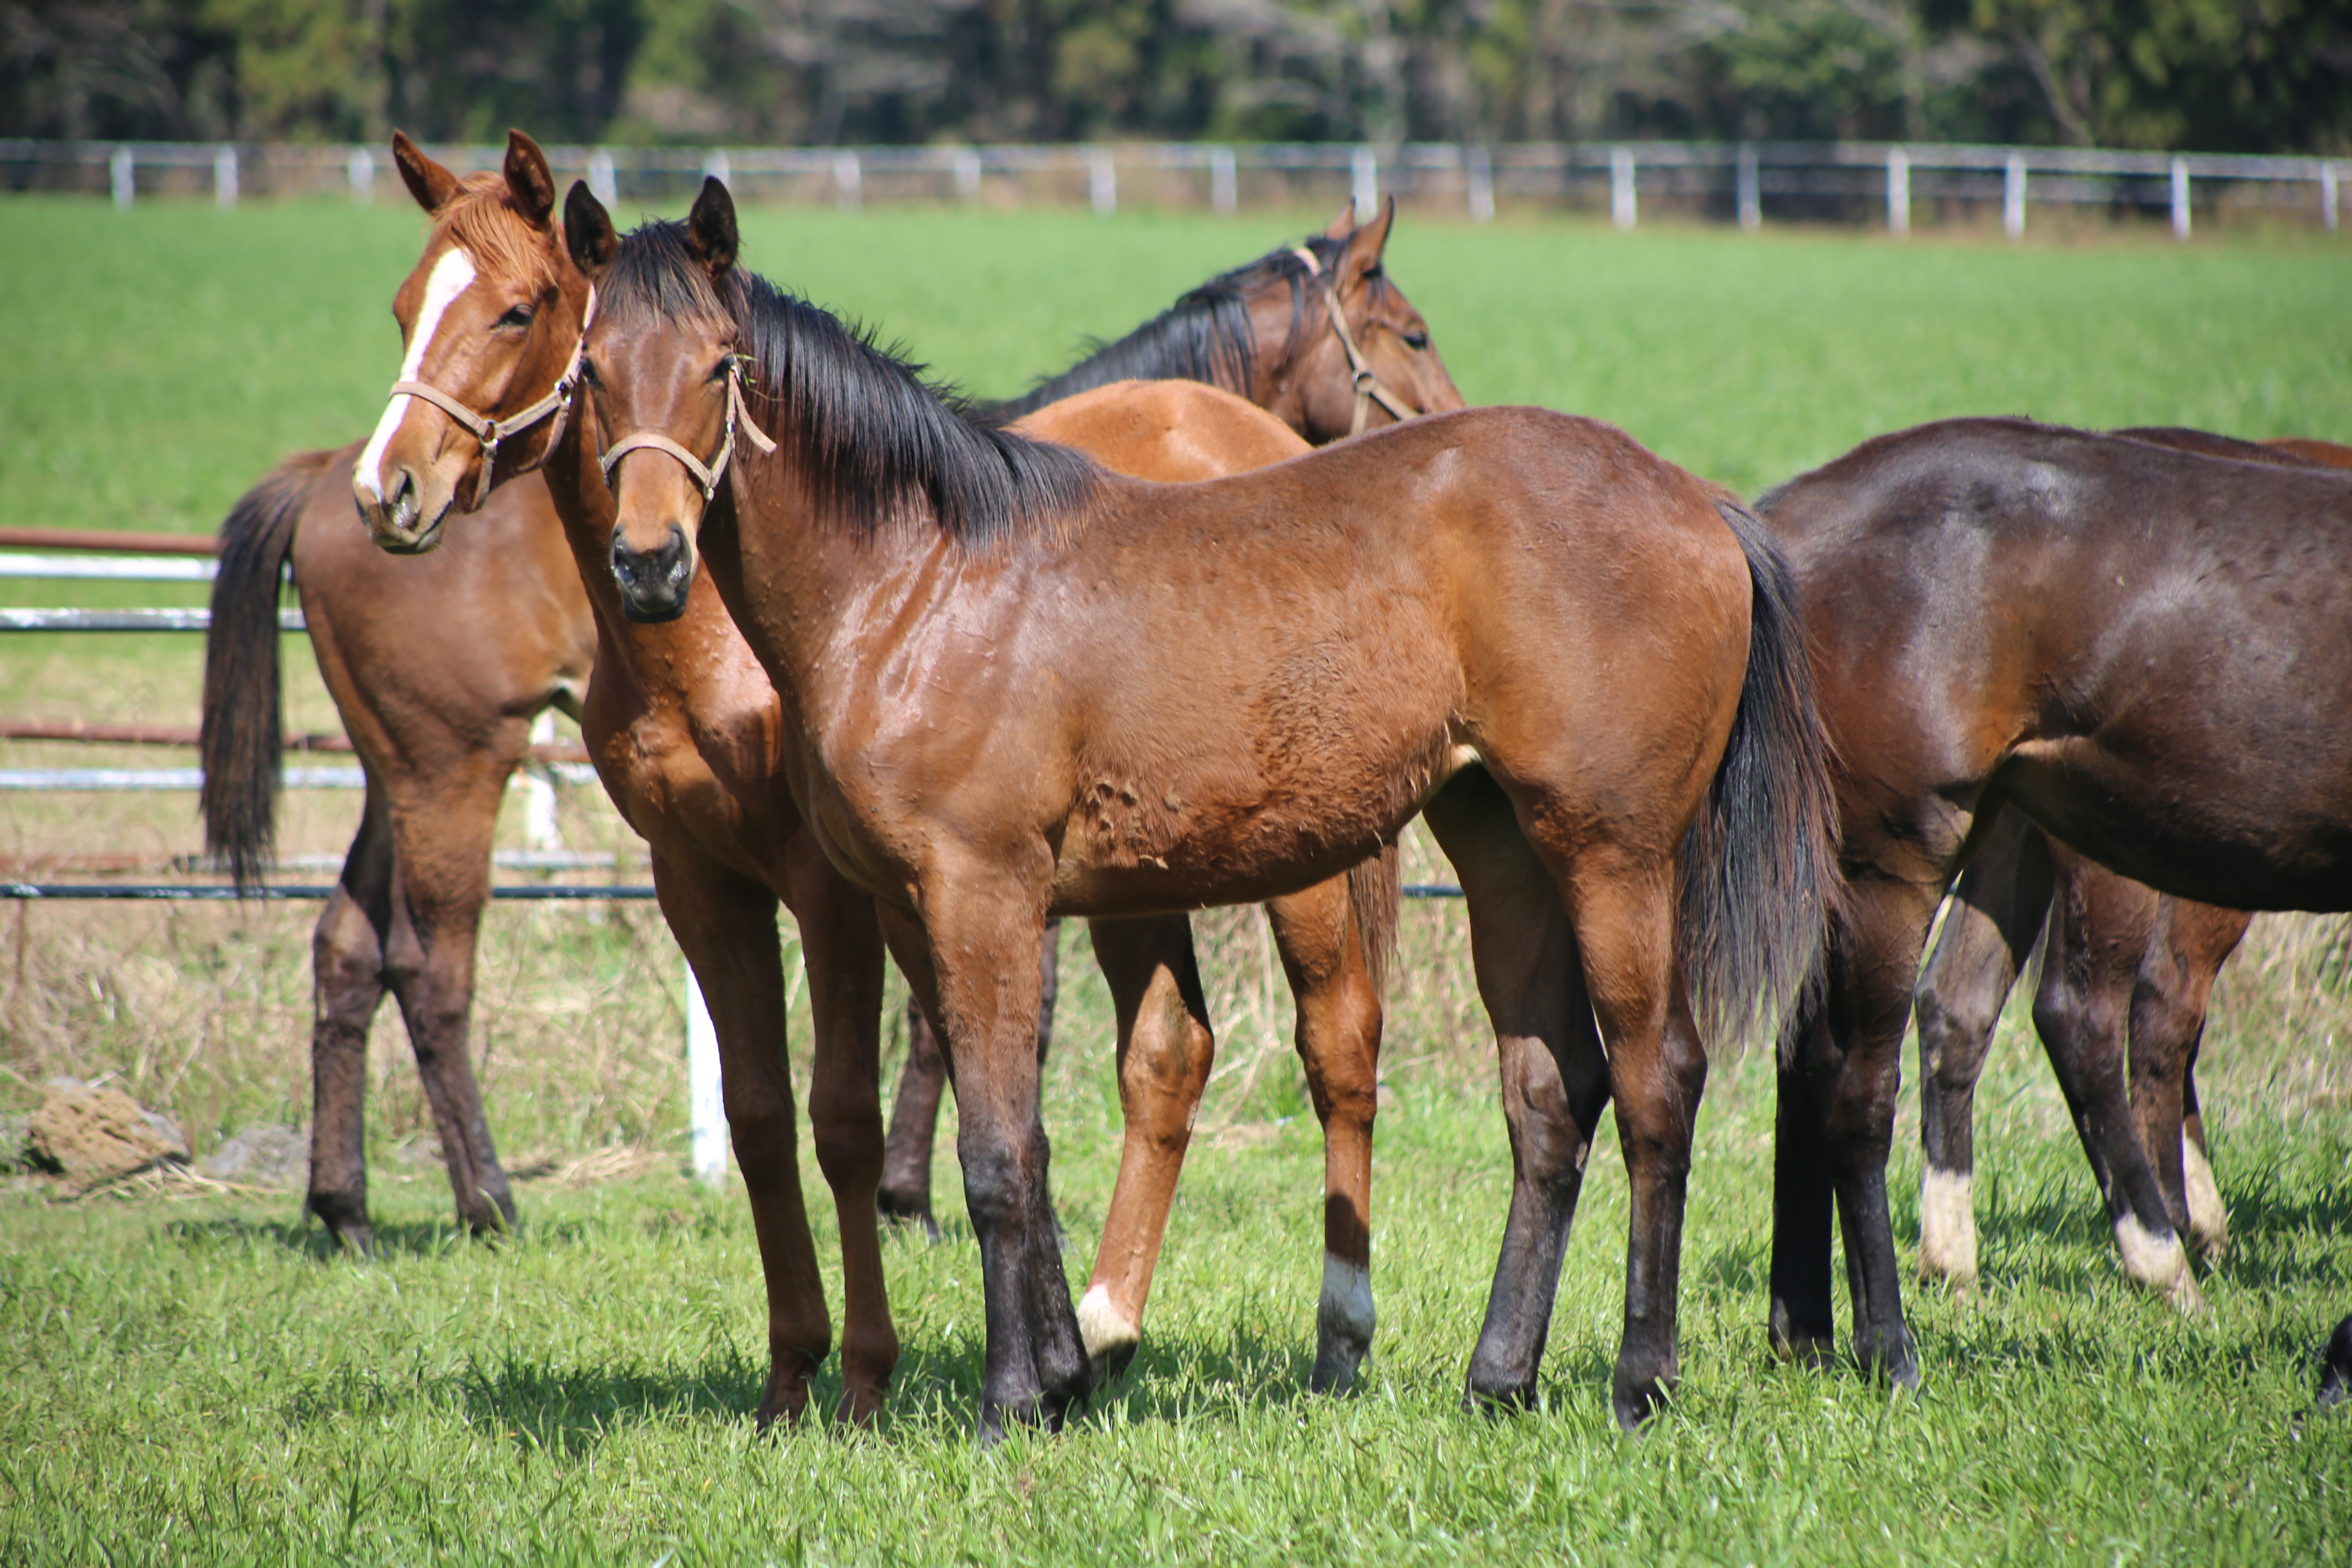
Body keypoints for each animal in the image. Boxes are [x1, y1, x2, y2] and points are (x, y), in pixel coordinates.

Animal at [564, 177, 1834, 1439]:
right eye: (591, 373)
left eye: (721, 367)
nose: (648, 563)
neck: (918, 583)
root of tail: (1704, 504)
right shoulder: (912, 911)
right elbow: (1015, 1136)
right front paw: (1062, 1374)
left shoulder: (979, 896)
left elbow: (992, 1154)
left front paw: (1011, 1399)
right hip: (1503, 848)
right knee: (1546, 1097)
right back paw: (1497, 1378)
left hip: (1613, 855)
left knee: (1656, 1079)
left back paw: (1637, 1380)